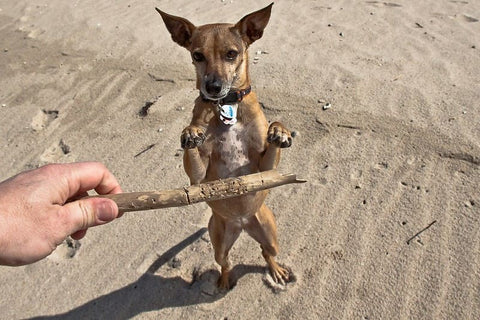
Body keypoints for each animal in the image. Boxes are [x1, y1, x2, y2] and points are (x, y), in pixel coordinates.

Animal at [157, 2, 292, 288]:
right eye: (197, 56)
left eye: (232, 54)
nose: (213, 86)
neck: (227, 105)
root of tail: (242, 224)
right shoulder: (196, 180)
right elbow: (193, 148)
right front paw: (191, 131)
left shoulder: (265, 169)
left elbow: (274, 130)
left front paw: (279, 130)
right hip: (219, 241)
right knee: (226, 262)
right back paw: (223, 281)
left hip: (270, 234)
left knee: (267, 253)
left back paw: (276, 270)